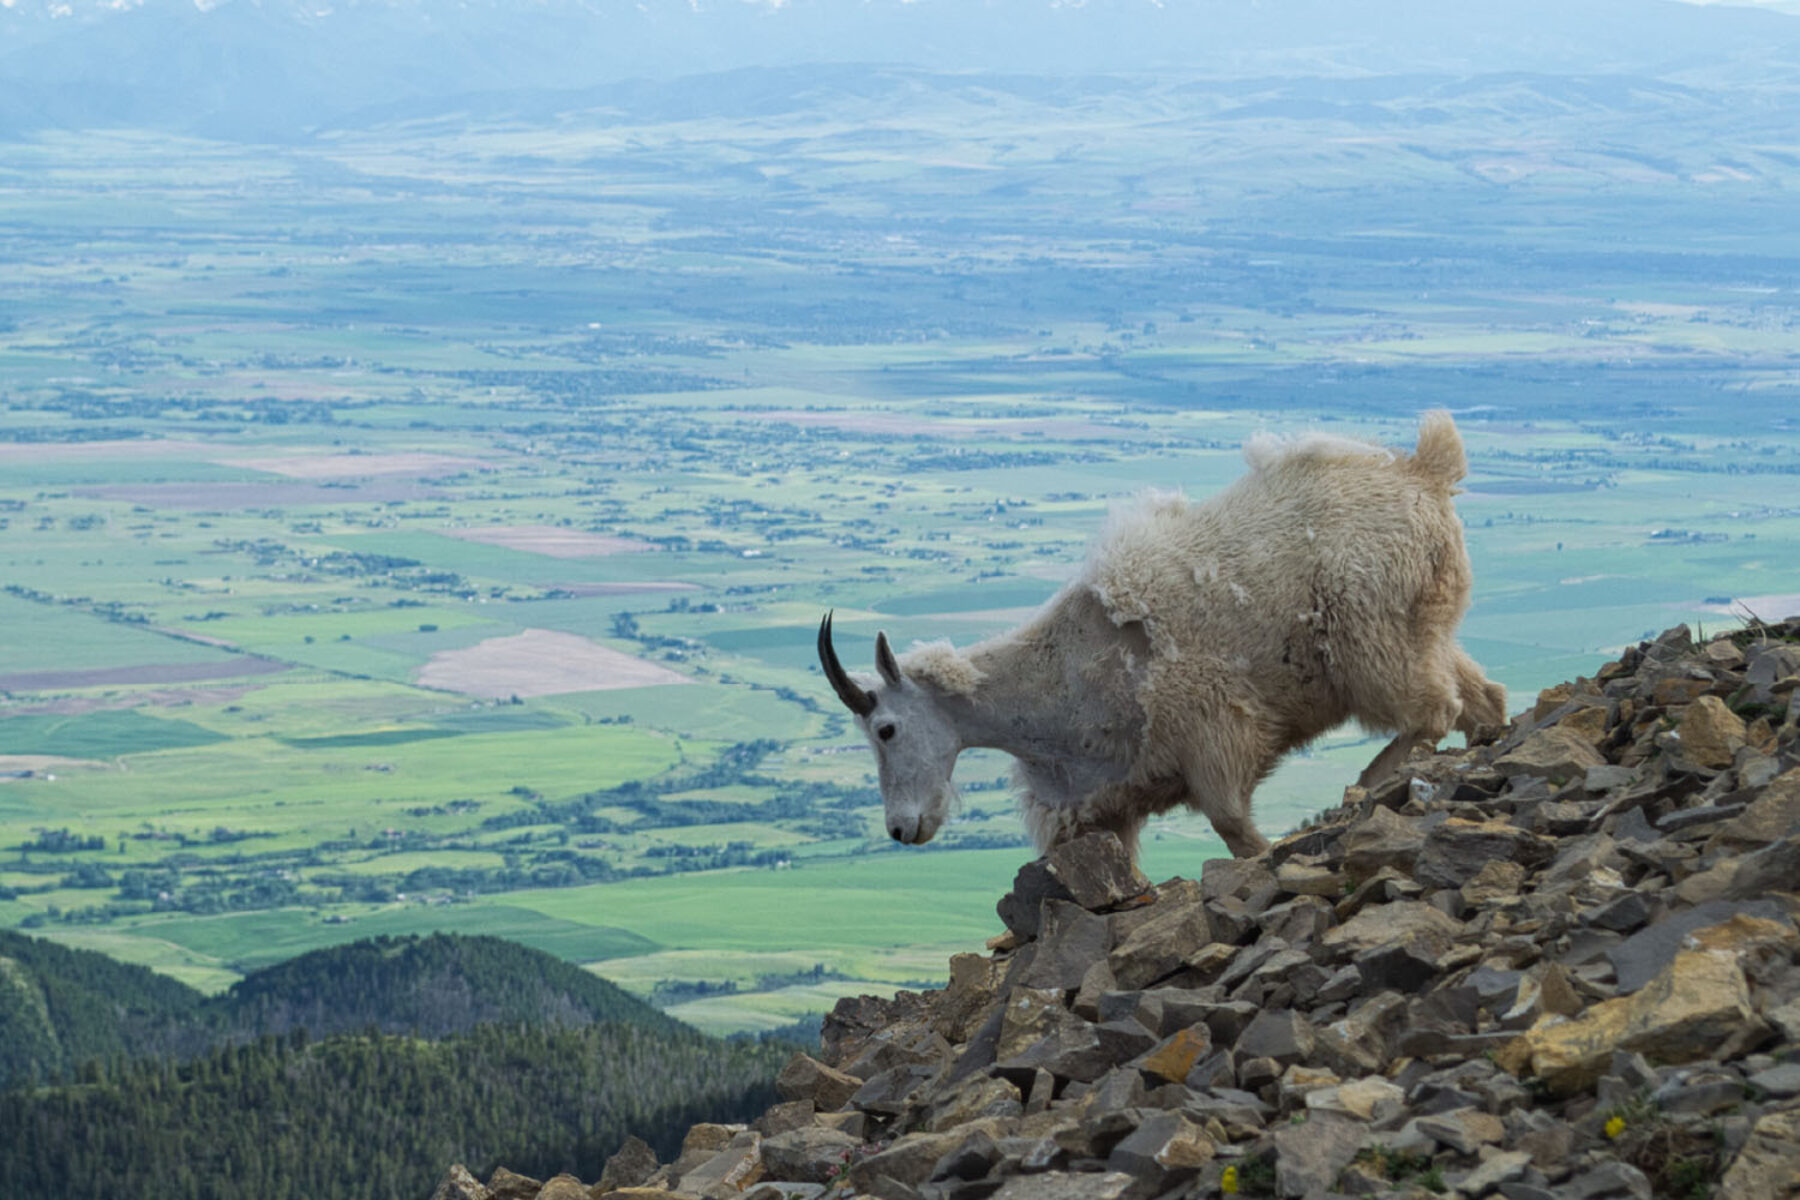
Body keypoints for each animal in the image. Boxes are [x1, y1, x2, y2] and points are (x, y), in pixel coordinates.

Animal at [818, 411, 1506, 860]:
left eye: (886, 729)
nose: (901, 829)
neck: (1054, 677)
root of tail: (1427, 472)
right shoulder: (1104, 806)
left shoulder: (1212, 735)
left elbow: (1236, 833)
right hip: (1425, 623)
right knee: (1481, 697)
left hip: (1373, 633)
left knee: (1430, 710)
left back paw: (1367, 781)